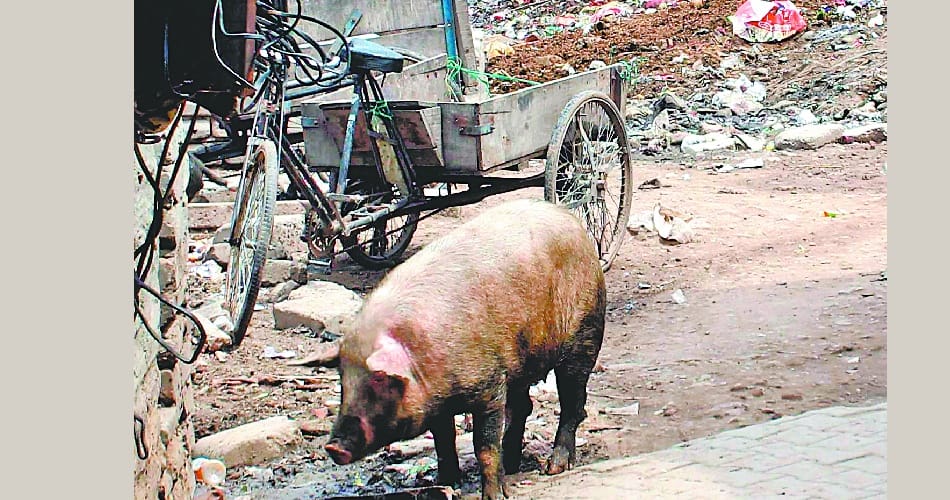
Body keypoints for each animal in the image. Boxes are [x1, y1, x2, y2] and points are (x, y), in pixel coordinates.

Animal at [324, 199, 606, 499]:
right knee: (524, 407)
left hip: (585, 334)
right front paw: (447, 482)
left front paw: (494, 496)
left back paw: (554, 467)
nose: (333, 447)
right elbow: (443, 442)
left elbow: (484, 445)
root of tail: (571, 220)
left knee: (572, 402)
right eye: (342, 379)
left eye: (378, 378)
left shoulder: (490, 384)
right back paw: (513, 465)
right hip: (521, 362)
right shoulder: (438, 400)